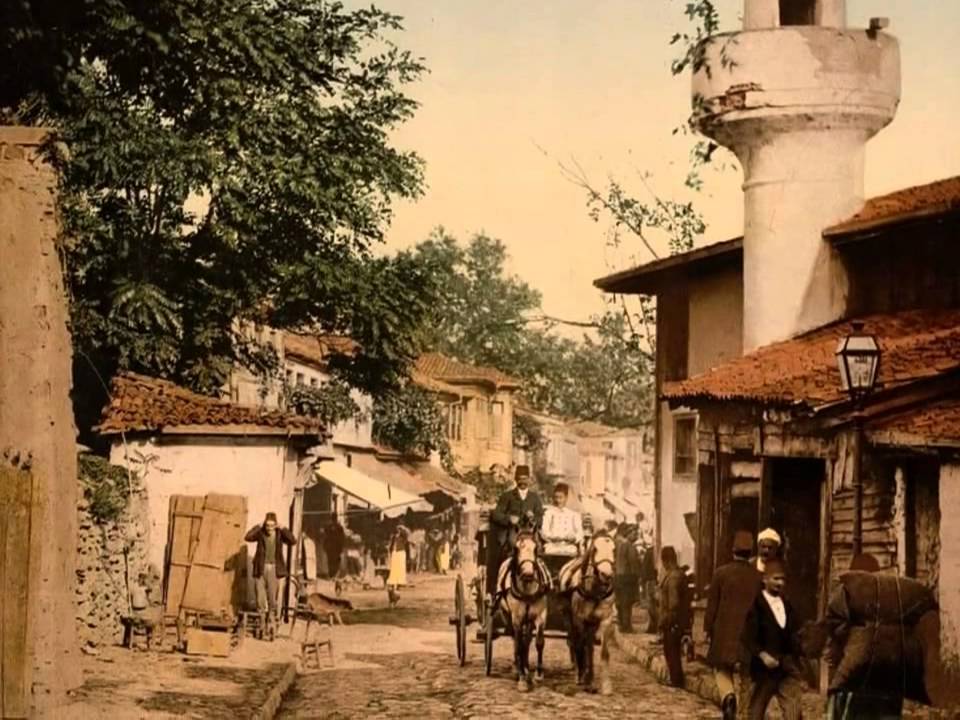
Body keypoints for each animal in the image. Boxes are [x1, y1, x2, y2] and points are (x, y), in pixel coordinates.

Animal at [496, 528, 551, 692]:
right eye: (516, 548)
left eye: (536, 548)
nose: (527, 574)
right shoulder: (517, 619)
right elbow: (519, 645)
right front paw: (521, 679)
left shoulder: (540, 616)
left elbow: (539, 642)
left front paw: (538, 674)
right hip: (507, 616)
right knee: (515, 640)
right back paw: (518, 668)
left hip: (529, 620)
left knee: (527, 641)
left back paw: (526, 668)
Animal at [558, 531, 617, 694]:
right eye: (595, 549)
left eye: (614, 549)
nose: (606, 574)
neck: (594, 591)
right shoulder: (580, 619)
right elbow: (580, 645)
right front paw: (582, 676)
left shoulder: (606, 619)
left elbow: (604, 652)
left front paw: (605, 685)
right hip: (568, 617)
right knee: (575, 641)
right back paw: (580, 672)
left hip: (592, 624)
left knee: (589, 646)